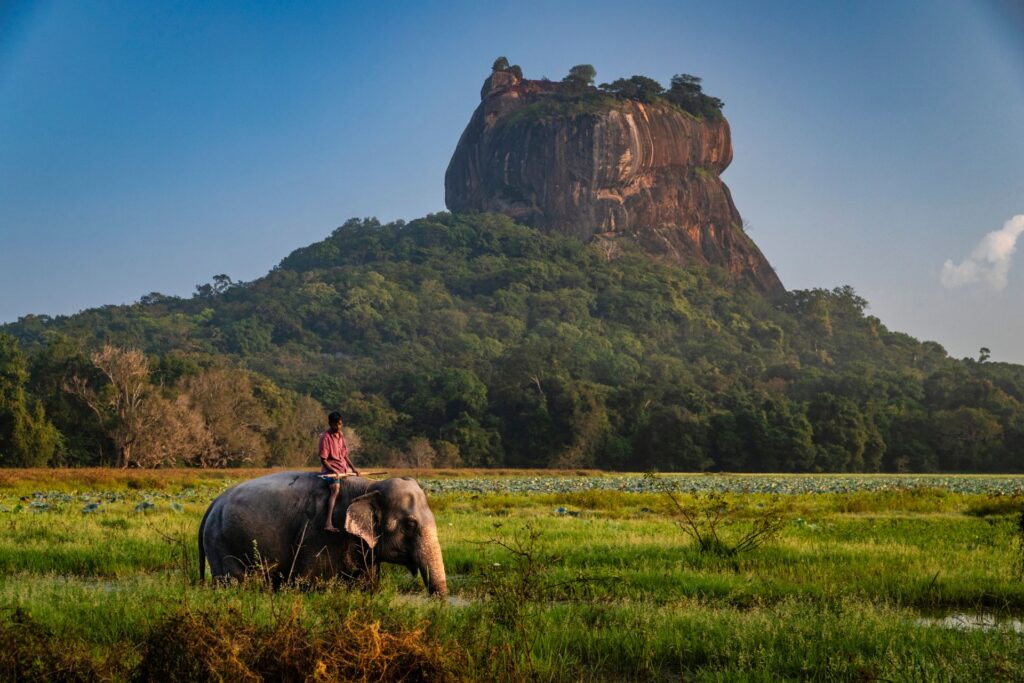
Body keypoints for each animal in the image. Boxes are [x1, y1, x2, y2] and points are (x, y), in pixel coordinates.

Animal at [198, 472, 447, 597]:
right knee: (233, 582)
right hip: (221, 542)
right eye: (410, 524)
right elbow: (308, 582)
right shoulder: (320, 535)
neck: (369, 485)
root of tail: (213, 503)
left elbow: (366, 584)